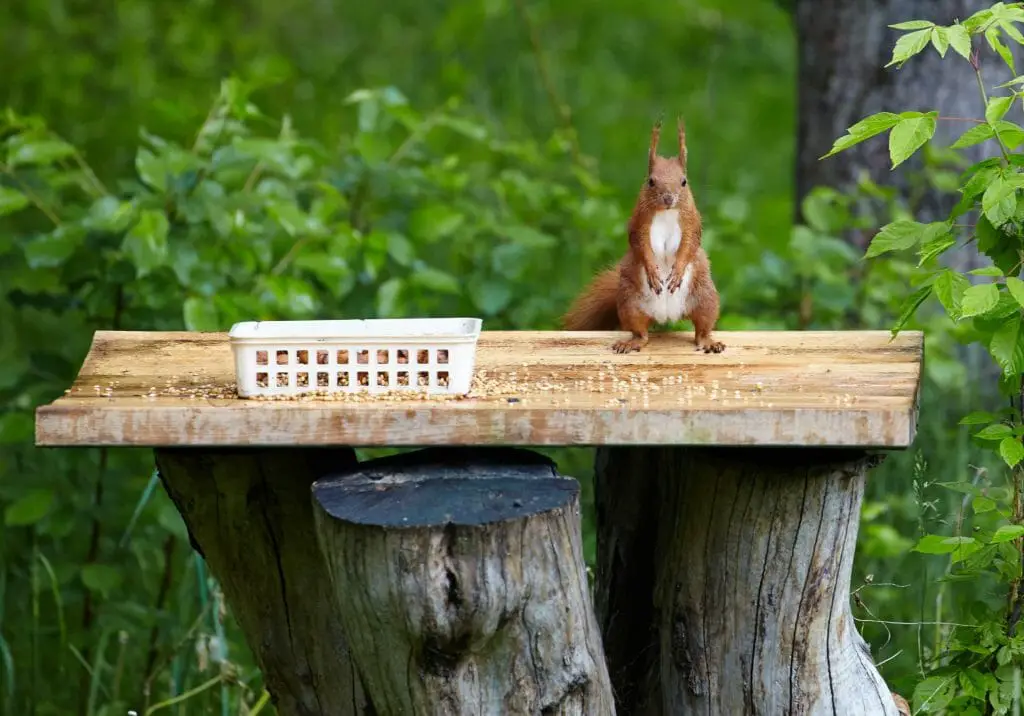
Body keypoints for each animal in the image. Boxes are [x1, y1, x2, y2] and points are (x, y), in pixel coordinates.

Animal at [562, 117, 725, 354]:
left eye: (684, 181)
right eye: (651, 181)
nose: (668, 198)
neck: (666, 212)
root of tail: (667, 316)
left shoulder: (691, 222)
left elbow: (690, 244)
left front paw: (676, 271)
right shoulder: (639, 222)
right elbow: (640, 245)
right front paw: (652, 272)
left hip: (705, 298)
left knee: (702, 327)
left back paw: (708, 342)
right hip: (630, 303)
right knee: (641, 332)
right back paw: (631, 342)